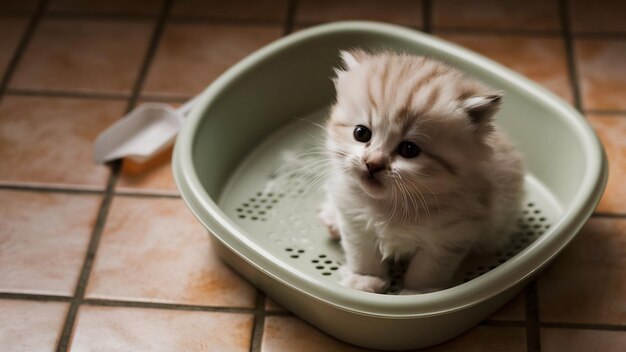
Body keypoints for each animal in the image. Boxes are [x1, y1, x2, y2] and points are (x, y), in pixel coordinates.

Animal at [316, 48, 520, 292]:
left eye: (409, 149)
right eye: (361, 133)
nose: (372, 163)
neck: (389, 205)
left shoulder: (450, 237)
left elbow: (426, 271)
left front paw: (416, 292)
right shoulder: (354, 222)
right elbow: (363, 255)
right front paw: (364, 281)